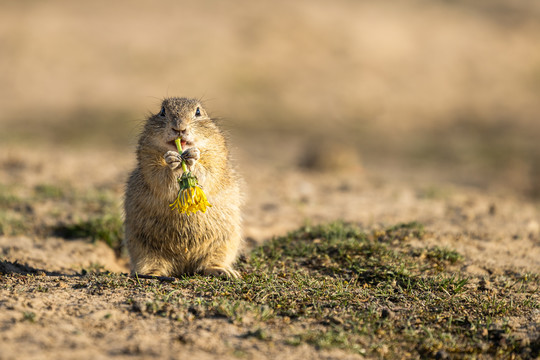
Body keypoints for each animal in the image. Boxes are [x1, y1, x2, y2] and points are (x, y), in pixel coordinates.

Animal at [124, 97, 243, 278]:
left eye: (198, 112)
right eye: (162, 111)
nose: (179, 127)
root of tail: (184, 267)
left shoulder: (216, 155)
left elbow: (209, 169)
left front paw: (192, 158)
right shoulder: (147, 159)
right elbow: (157, 174)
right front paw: (172, 161)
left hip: (225, 243)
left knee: (208, 264)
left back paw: (224, 271)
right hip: (141, 247)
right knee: (151, 264)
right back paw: (153, 274)